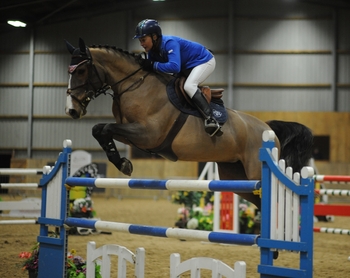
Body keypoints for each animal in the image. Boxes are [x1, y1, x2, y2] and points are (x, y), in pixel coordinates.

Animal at [63, 38, 312, 208]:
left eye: (82, 70)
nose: (71, 110)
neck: (134, 84)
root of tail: (268, 128)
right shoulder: (132, 134)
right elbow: (99, 130)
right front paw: (122, 162)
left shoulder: (148, 134)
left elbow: (105, 128)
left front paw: (123, 164)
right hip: (234, 175)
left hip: (254, 173)